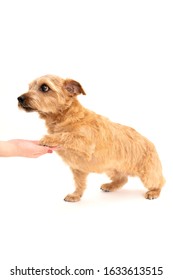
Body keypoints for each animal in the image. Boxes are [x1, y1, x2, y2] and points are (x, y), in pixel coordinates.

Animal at [17, 74, 165, 201]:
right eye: (29, 87)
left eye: (44, 87)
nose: (19, 98)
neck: (66, 118)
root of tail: (151, 143)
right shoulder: (77, 168)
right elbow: (79, 183)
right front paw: (76, 195)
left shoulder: (85, 143)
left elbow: (68, 136)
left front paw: (49, 138)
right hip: (112, 168)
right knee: (123, 179)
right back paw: (110, 186)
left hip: (148, 174)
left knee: (161, 181)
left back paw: (153, 192)